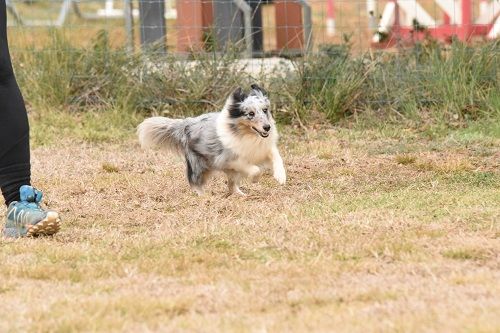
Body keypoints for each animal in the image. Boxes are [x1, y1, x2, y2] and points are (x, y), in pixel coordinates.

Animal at [137, 83, 288, 196]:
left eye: (265, 110)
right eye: (250, 114)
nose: (267, 127)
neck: (247, 135)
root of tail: (187, 123)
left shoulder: (263, 149)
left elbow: (277, 157)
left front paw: (280, 177)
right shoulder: (227, 159)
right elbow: (255, 169)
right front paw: (255, 179)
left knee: (231, 186)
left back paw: (241, 194)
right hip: (199, 165)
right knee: (194, 182)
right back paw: (203, 196)